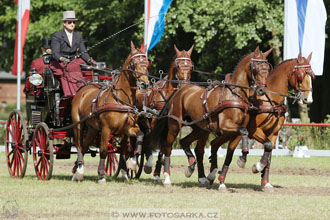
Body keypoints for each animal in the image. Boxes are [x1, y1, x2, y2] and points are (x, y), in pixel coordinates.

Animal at [71, 42, 150, 183]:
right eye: (134, 63)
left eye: (147, 63)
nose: (144, 84)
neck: (120, 99)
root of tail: (83, 90)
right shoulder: (106, 129)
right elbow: (103, 150)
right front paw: (101, 176)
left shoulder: (127, 129)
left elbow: (129, 146)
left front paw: (129, 168)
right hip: (78, 124)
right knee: (79, 146)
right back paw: (78, 171)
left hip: (92, 128)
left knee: (84, 146)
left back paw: (77, 171)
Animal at [135, 44, 195, 177]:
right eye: (178, 66)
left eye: (191, 66)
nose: (185, 86)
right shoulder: (154, 122)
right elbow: (152, 141)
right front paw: (150, 165)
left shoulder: (171, 125)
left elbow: (165, 147)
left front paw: (159, 168)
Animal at [151, 46, 272, 186]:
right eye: (256, 67)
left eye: (267, 68)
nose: (261, 90)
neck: (235, 95)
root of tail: (179, 91)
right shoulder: (226, 127)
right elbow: (243, 132)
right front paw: (243, 157)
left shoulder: (245, 129)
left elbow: (264, 144)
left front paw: (258, 165)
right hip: (175, 125)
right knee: (167, 147)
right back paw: (167, 177)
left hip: (200, 128)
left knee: (184, 142)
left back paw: (191, 166)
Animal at [209, 51, 314, 191]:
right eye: (300, 75)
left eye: (312, 75)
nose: (308, 99)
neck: (269, 99)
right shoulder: (254, 130)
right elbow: (268, 145)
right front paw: (257, 167)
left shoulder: (274, 133)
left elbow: (269, 155)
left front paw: (265, 182)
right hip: (234, 132)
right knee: (228, 152)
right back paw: (220, 180)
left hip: (228, 132)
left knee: (214, 144)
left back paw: (211, 175)